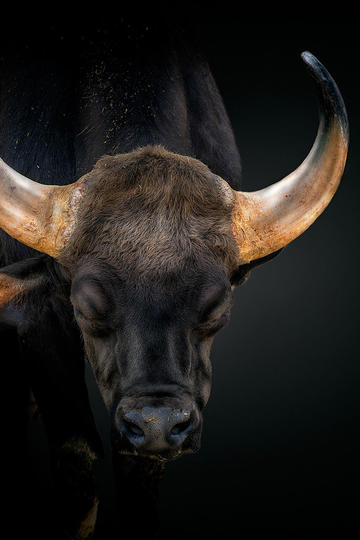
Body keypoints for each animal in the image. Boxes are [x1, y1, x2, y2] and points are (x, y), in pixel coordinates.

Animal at [0, 23, 348, 540]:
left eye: (217, 308)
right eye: (85, 307)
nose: (158, 424)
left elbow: (139, 472)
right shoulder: (40, 320)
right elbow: (77, 462)